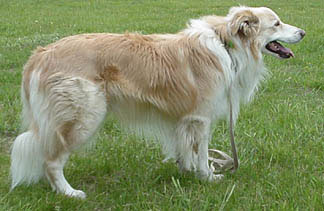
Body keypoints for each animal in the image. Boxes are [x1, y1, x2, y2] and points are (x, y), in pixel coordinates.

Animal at [9, 6, 304, 198]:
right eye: (277, 23)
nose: (302, 32)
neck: (227, 45)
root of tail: (40, 54)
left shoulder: (185, 119)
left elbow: (186, 148)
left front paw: (186, 171)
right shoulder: (202, 117)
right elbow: (201, 152)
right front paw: (208, 177)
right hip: (84, 118)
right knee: (51, 161)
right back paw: (68, 192)